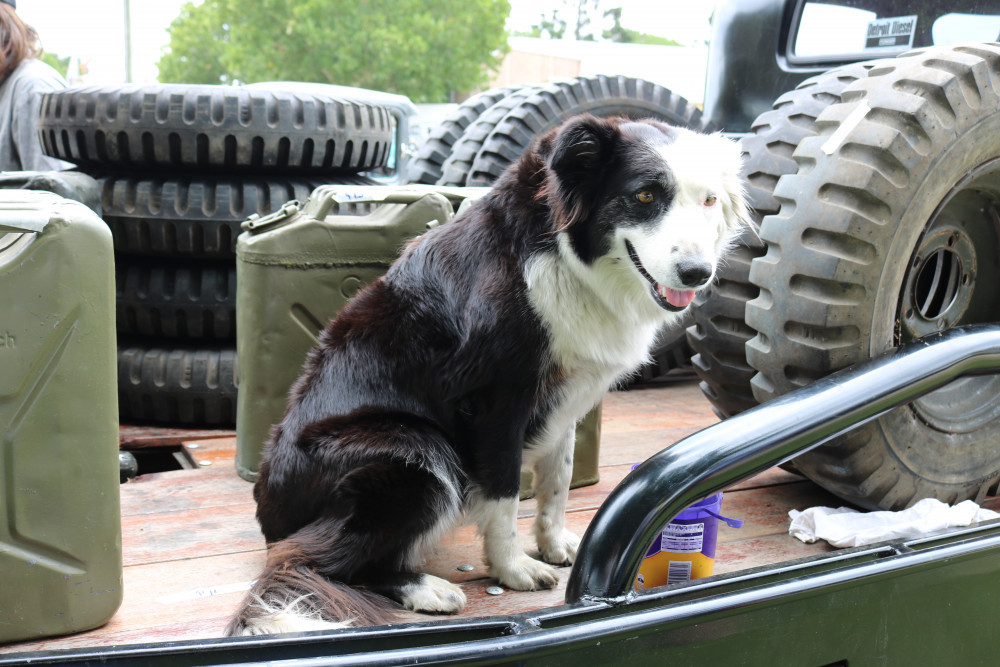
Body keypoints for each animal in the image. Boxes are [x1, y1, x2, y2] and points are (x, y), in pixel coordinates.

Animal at [230, 112, 748, 636]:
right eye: (644, 196)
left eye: (709, 201)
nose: (697, 273)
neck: (564, 256)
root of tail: (266, 509)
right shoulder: (497, 401)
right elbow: (503, 494)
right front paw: (513, 569)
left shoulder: (566, 397)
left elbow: (558, 479)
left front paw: (554, 544)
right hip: (415, 451)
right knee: (307, 559)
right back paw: (424, 588)